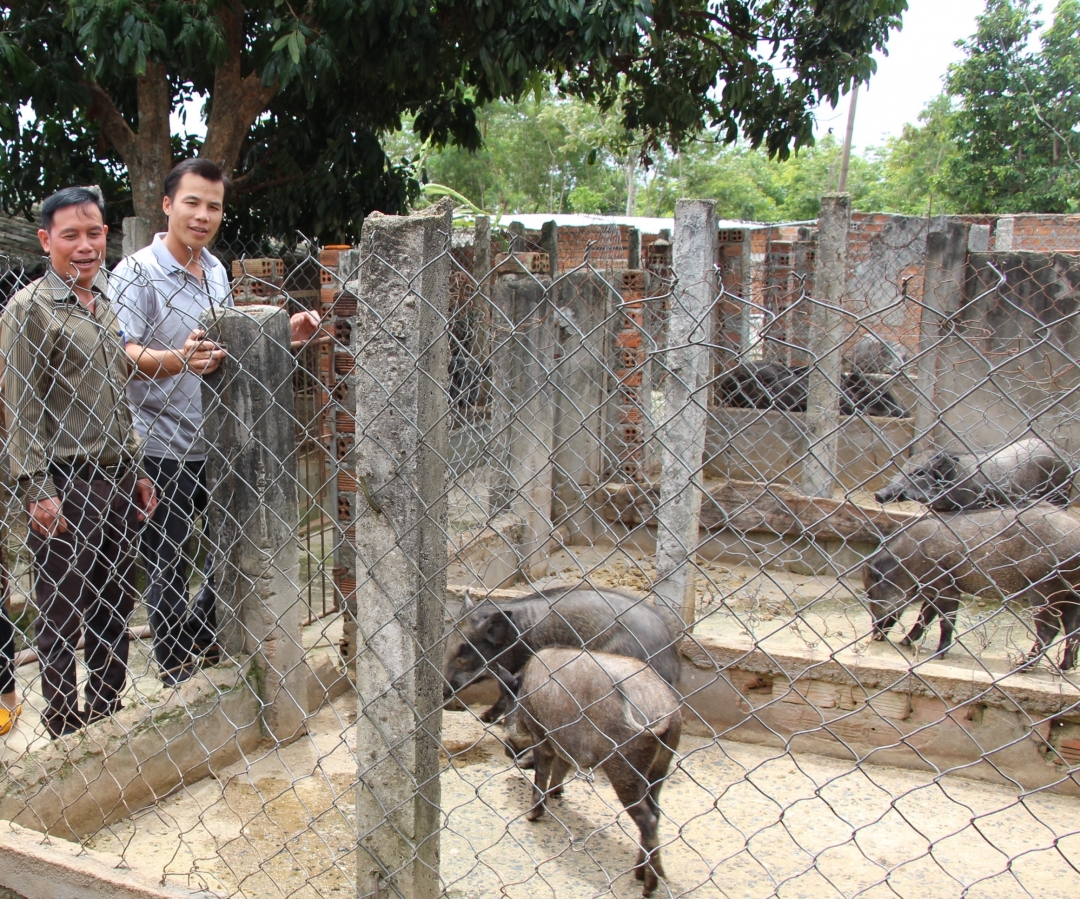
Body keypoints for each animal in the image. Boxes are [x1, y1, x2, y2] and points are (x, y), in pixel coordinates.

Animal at [505, 648, 682, 894]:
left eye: (507, 706)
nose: (507, 751)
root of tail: (665, 713)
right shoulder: (564, 744)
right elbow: (561, 767)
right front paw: (556, 794)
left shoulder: (541, 733)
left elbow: (543, 772)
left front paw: (531, 817)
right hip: (659, 769)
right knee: (656, 814)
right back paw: (642, 875)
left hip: (625, 767)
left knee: (648, 819)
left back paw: (647, 888)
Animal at [868, 505, 1080, 665]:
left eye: (872, 593)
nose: (874, 636)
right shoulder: (933, 591)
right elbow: (924, 616)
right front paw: (904, 642)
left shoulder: (946, 588)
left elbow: (945, 621)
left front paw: (938, 655)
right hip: (1072, 594)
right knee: (1073, 627)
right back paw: (1064, 667)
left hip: (1044, 587)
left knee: (1050, 628)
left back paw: (1023, 666)